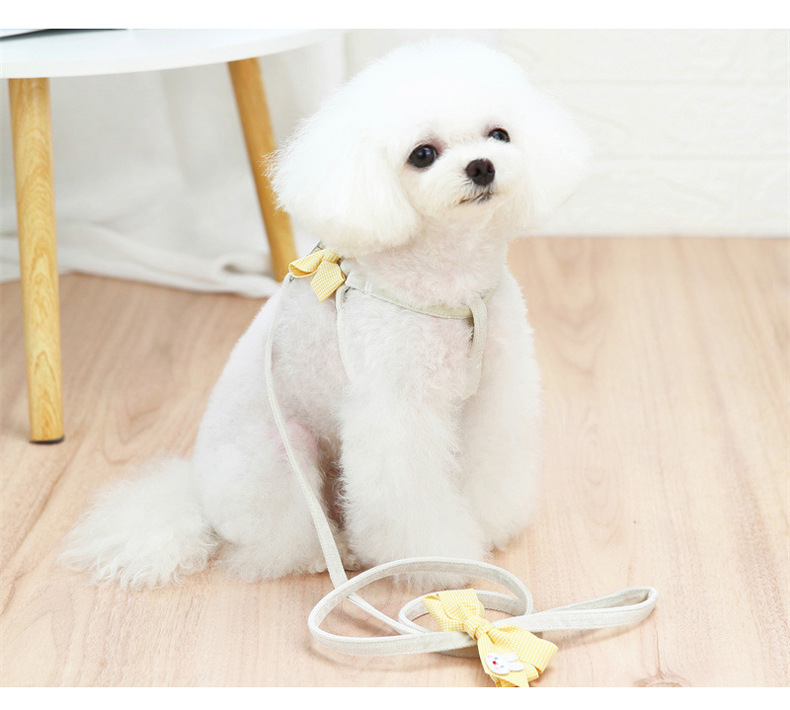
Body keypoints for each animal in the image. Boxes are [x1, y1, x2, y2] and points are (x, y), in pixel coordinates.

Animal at [60, 38, 588, 591]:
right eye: (422, 154)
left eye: (499, 134)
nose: (482, 165)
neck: (453, 285)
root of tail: (195, 496)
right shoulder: (396, 411)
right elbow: (410, 499)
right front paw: (437, 562)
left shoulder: (494, 392)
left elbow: (491, 463)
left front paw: (488, 524)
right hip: (279, 455)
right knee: (276, 541)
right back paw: (329, 553)